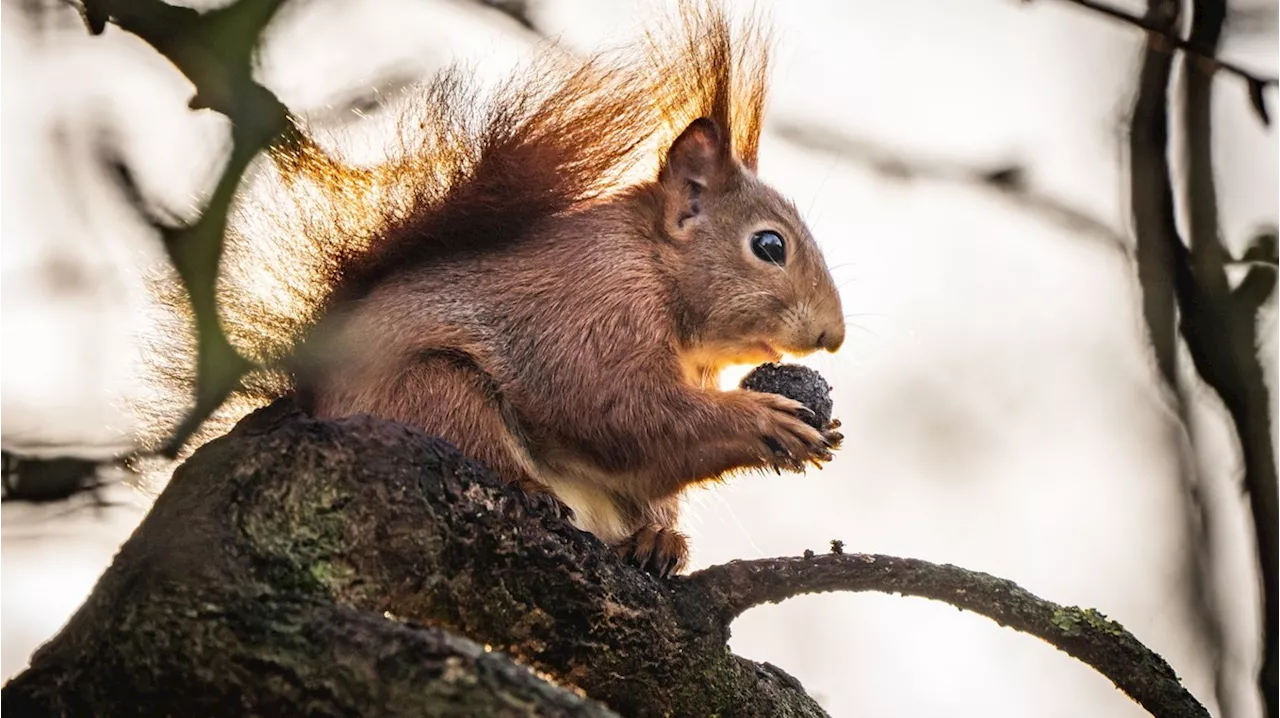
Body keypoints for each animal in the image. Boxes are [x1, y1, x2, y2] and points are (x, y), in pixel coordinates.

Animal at [137, 0, 839, 570]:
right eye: (770, 246)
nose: (832, 335)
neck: (657, 268)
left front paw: (665, 530)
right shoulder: (593, 305)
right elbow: (614, 408)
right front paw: (763, 419)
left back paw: (655, 539)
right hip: (433, 393)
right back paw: (528, 490)